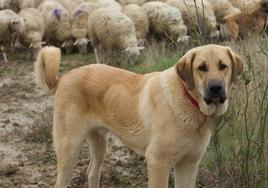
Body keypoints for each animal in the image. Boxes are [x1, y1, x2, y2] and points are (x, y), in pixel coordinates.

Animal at [34, 44, 244, 188]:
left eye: (223, 66)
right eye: (201, 67)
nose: (216, 88)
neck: (189, 102)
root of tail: (62, 78)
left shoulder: (188, 165)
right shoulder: (157, 162)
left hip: (100, 144)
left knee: (92, 172)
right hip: (69, 147)